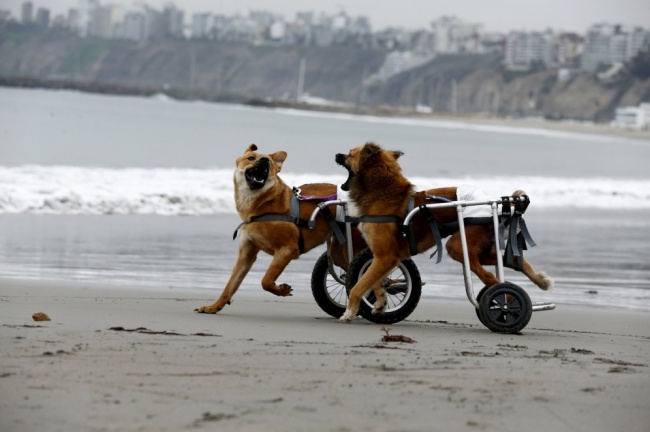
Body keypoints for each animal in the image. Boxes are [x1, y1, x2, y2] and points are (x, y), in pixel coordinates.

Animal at [196, 145, 354, 314]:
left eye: (270, 162)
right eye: (251, 158)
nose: (265, 160)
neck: (260, 206)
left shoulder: (287, 249)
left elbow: (266, 280)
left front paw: (281, 290)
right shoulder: (246, 254)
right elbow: (230, 286)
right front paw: (213, 307)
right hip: (337, 251)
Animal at [334, 143, 552, 322]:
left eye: (351, 153)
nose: (336, 154)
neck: (382, 193)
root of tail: (496, 208)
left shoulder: (386, 257)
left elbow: (359, 286)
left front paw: (350, 311)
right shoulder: (383, 257)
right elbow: (375, 282)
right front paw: (380, 303)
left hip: (457, 246)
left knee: (491, 278)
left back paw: (506, 302)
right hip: (479, 249)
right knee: (513, 261)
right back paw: (540, 281)